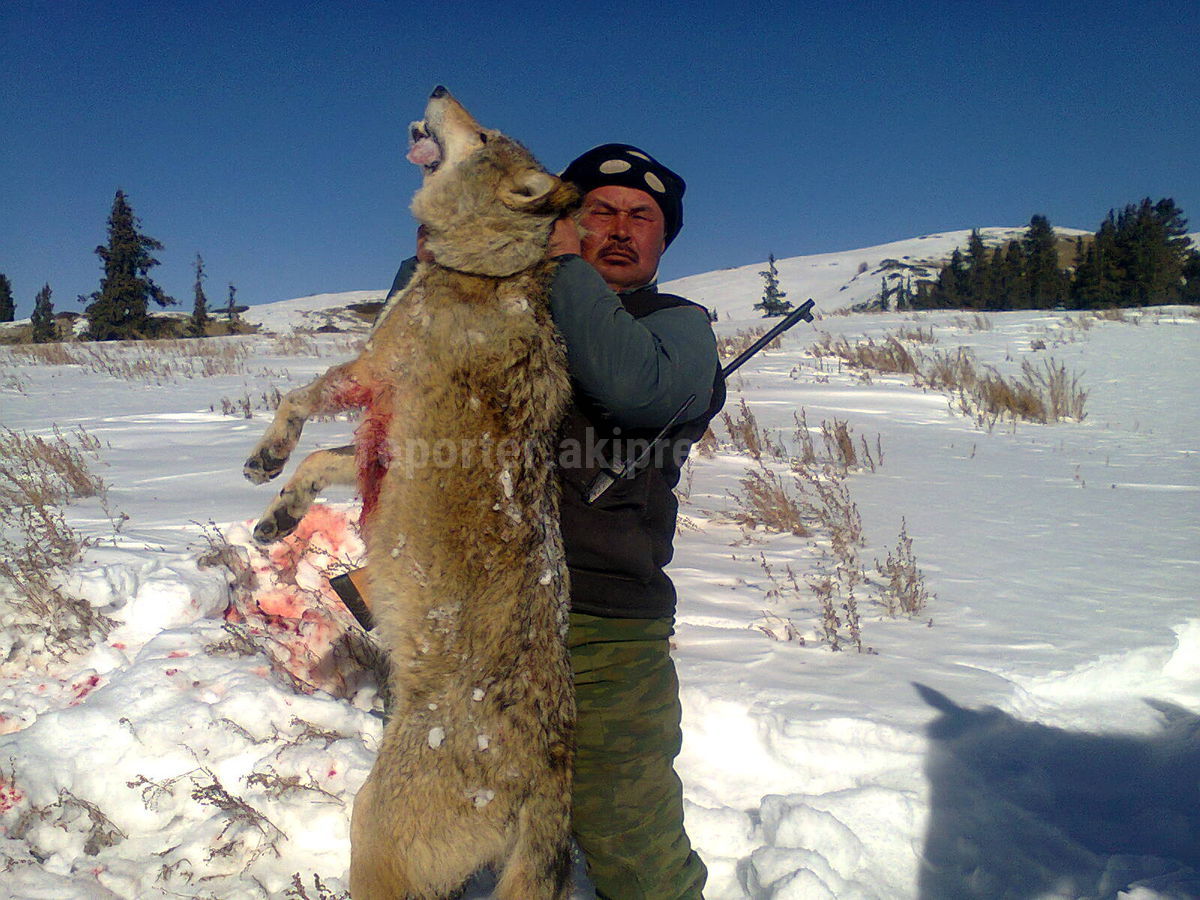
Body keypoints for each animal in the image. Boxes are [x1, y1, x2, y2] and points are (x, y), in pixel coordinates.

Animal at [241, 86, 578, 900]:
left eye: (483, 134)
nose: (439, 86)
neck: (484, 271)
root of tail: (551, 774)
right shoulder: (375, 450)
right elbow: (317, 467)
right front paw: (277, 518)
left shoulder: (366, 373)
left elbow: (297, 404)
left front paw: (265, 458)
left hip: (375, 831)